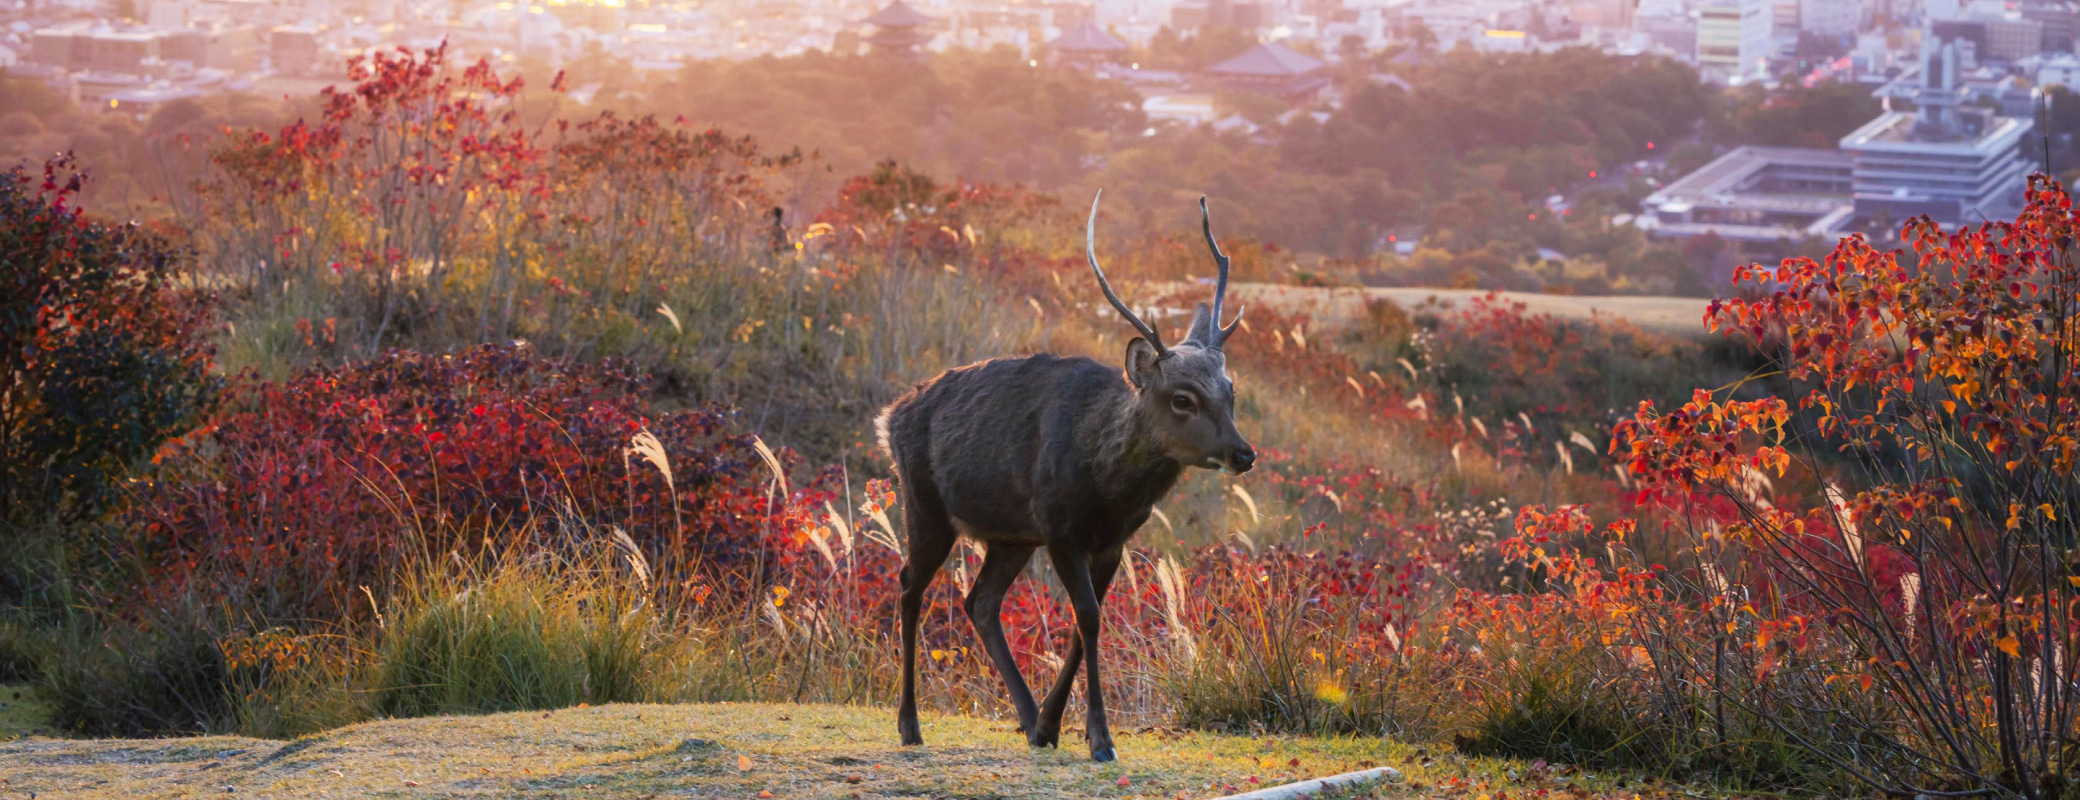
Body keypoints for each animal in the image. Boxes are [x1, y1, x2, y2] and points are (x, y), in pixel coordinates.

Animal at [873, 190, 1248, 756]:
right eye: (1182, 398)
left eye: (1230, 391)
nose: (1243, 453)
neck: (1106, 488)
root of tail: (889, 415)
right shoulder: (1059, 528)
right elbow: (1089, 616)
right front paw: (1099, 738)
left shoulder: (1111, 541)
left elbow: (1083, 620)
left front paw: (1054, 724)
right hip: (925, 506)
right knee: (910, 587)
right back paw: (909, 724)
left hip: (1010, 535)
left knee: (980, 602)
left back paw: (1029, 720)